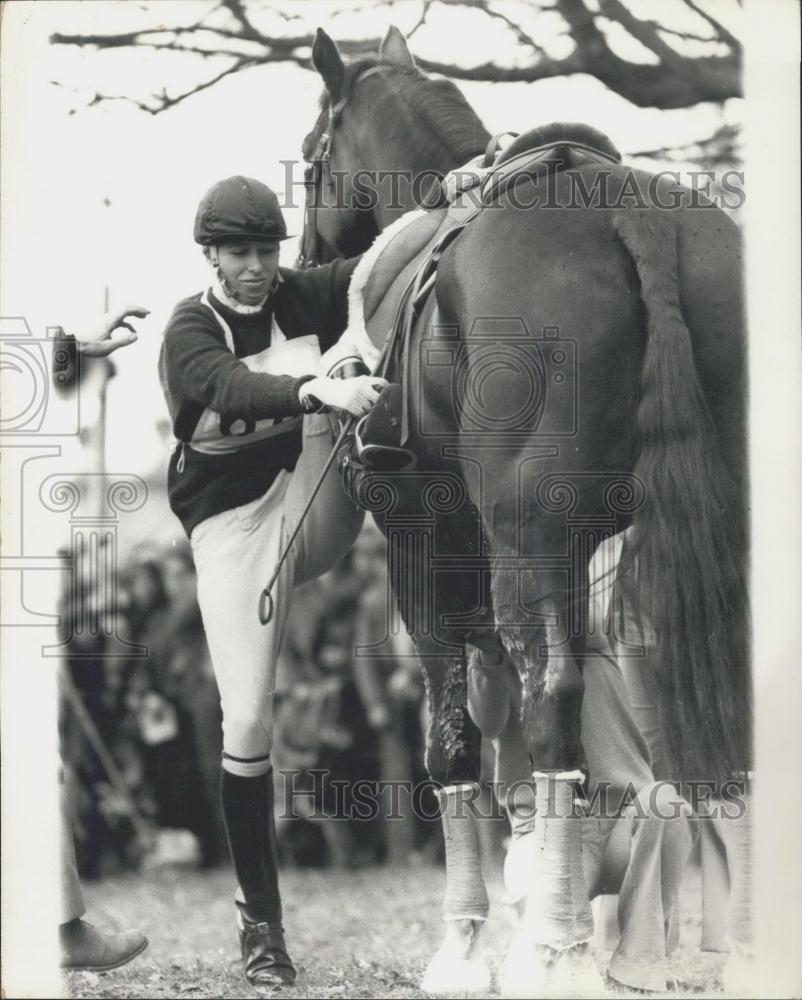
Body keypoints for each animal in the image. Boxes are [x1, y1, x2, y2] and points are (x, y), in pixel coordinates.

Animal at [302, 27, 752, 996]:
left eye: (313, 153)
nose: (309, 253)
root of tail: (629, 210)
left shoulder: (425, 546)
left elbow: (454, 737)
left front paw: (467, 944)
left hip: (521, 541)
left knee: (549, 699)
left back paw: (552, 946)